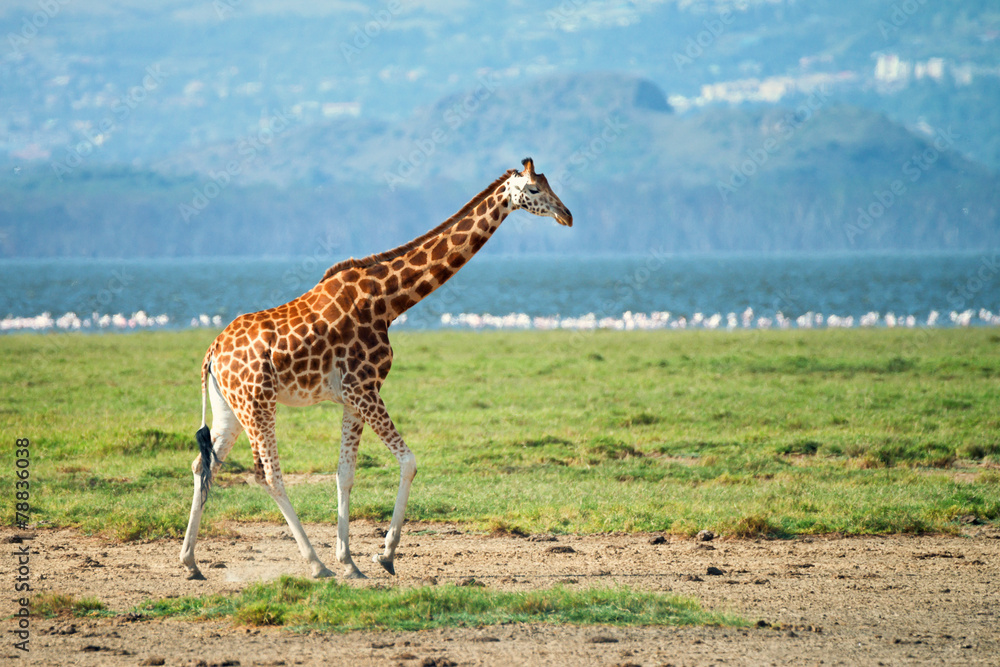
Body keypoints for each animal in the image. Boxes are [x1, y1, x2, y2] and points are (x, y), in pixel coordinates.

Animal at [180, 158, 572, 580]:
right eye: (533, 189)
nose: (566, 215)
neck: (388, 301)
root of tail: (212, 352)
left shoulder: (353, 398)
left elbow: (345, 473)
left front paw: (351, 561)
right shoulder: (364, 387)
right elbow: (409, 461)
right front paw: (384, 554)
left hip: (230, 407)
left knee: (203, 465)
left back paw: (191, 562)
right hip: (257, 402)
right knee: (266, 474)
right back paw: (315, 564)